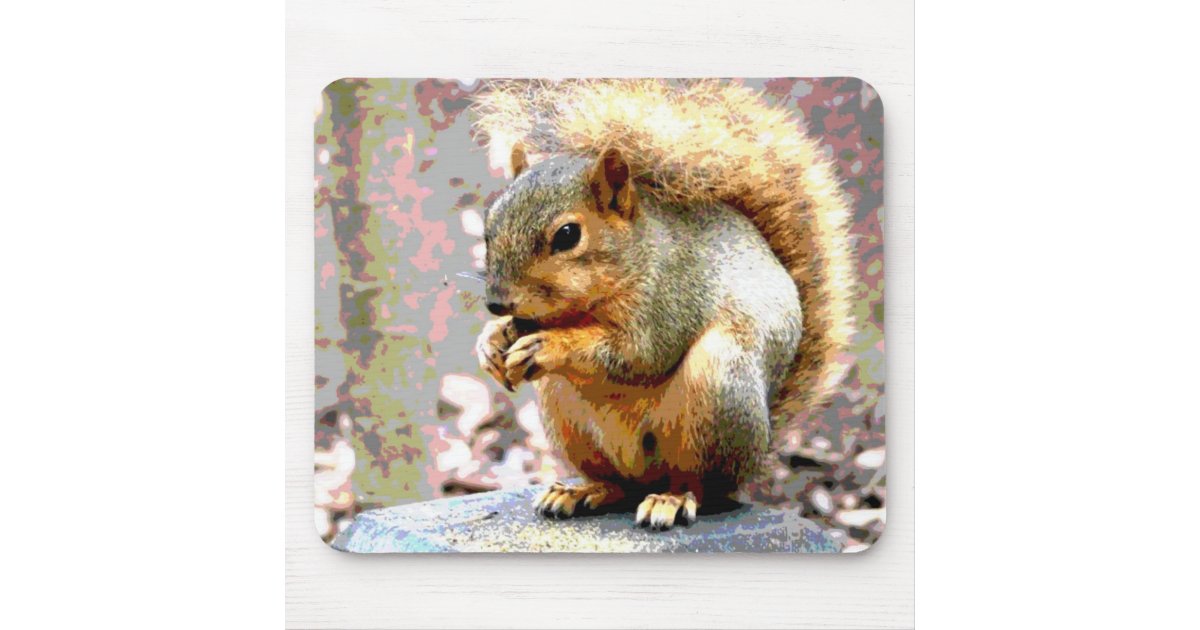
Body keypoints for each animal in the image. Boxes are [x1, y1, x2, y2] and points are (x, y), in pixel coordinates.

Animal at [470, 79, 856, 530]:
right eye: (489, 225)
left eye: (567, 235)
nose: (497, 303)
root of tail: (760, 447)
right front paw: (491, 342)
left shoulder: (671, 297)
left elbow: (640, 354)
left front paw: (550, 345)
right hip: (566, 415)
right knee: (618, 486)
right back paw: (582, 491)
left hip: (718, 386)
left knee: (701, 486)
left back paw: (671, 500)